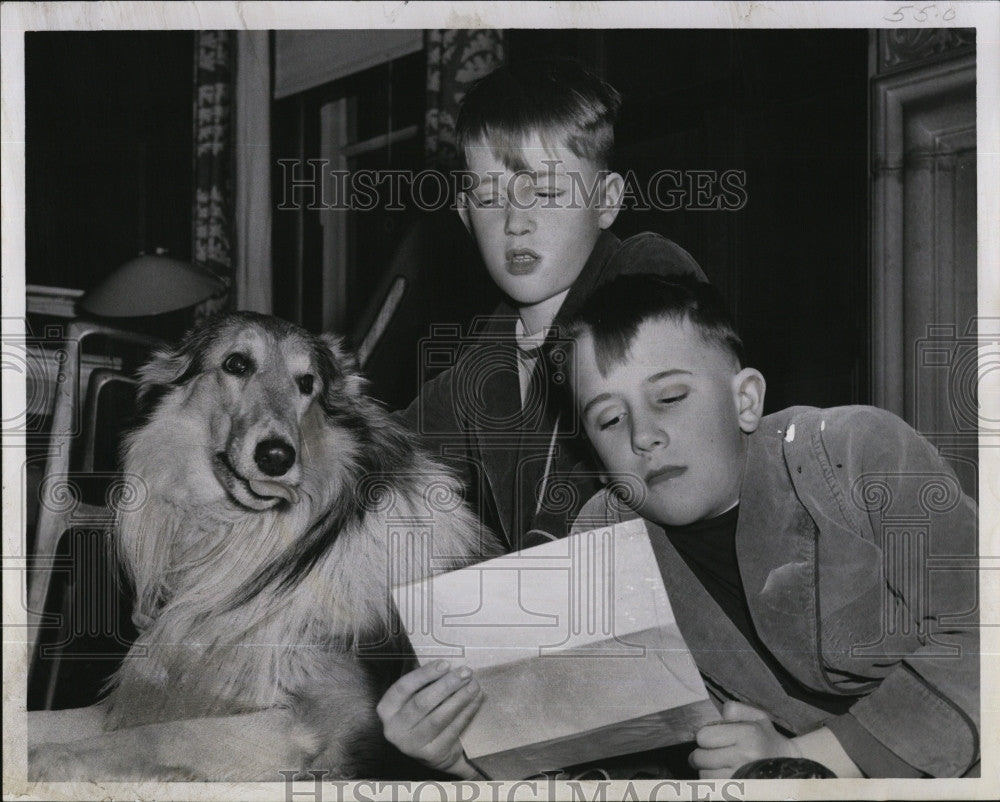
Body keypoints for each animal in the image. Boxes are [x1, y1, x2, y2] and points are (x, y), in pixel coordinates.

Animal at [30, 312, 496, 780]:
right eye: (236, 364)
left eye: (307, 383)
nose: (276, 457)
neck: (249, 540)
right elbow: (54, 721)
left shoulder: (297, 725)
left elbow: (152, 737)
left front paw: (48, 760)